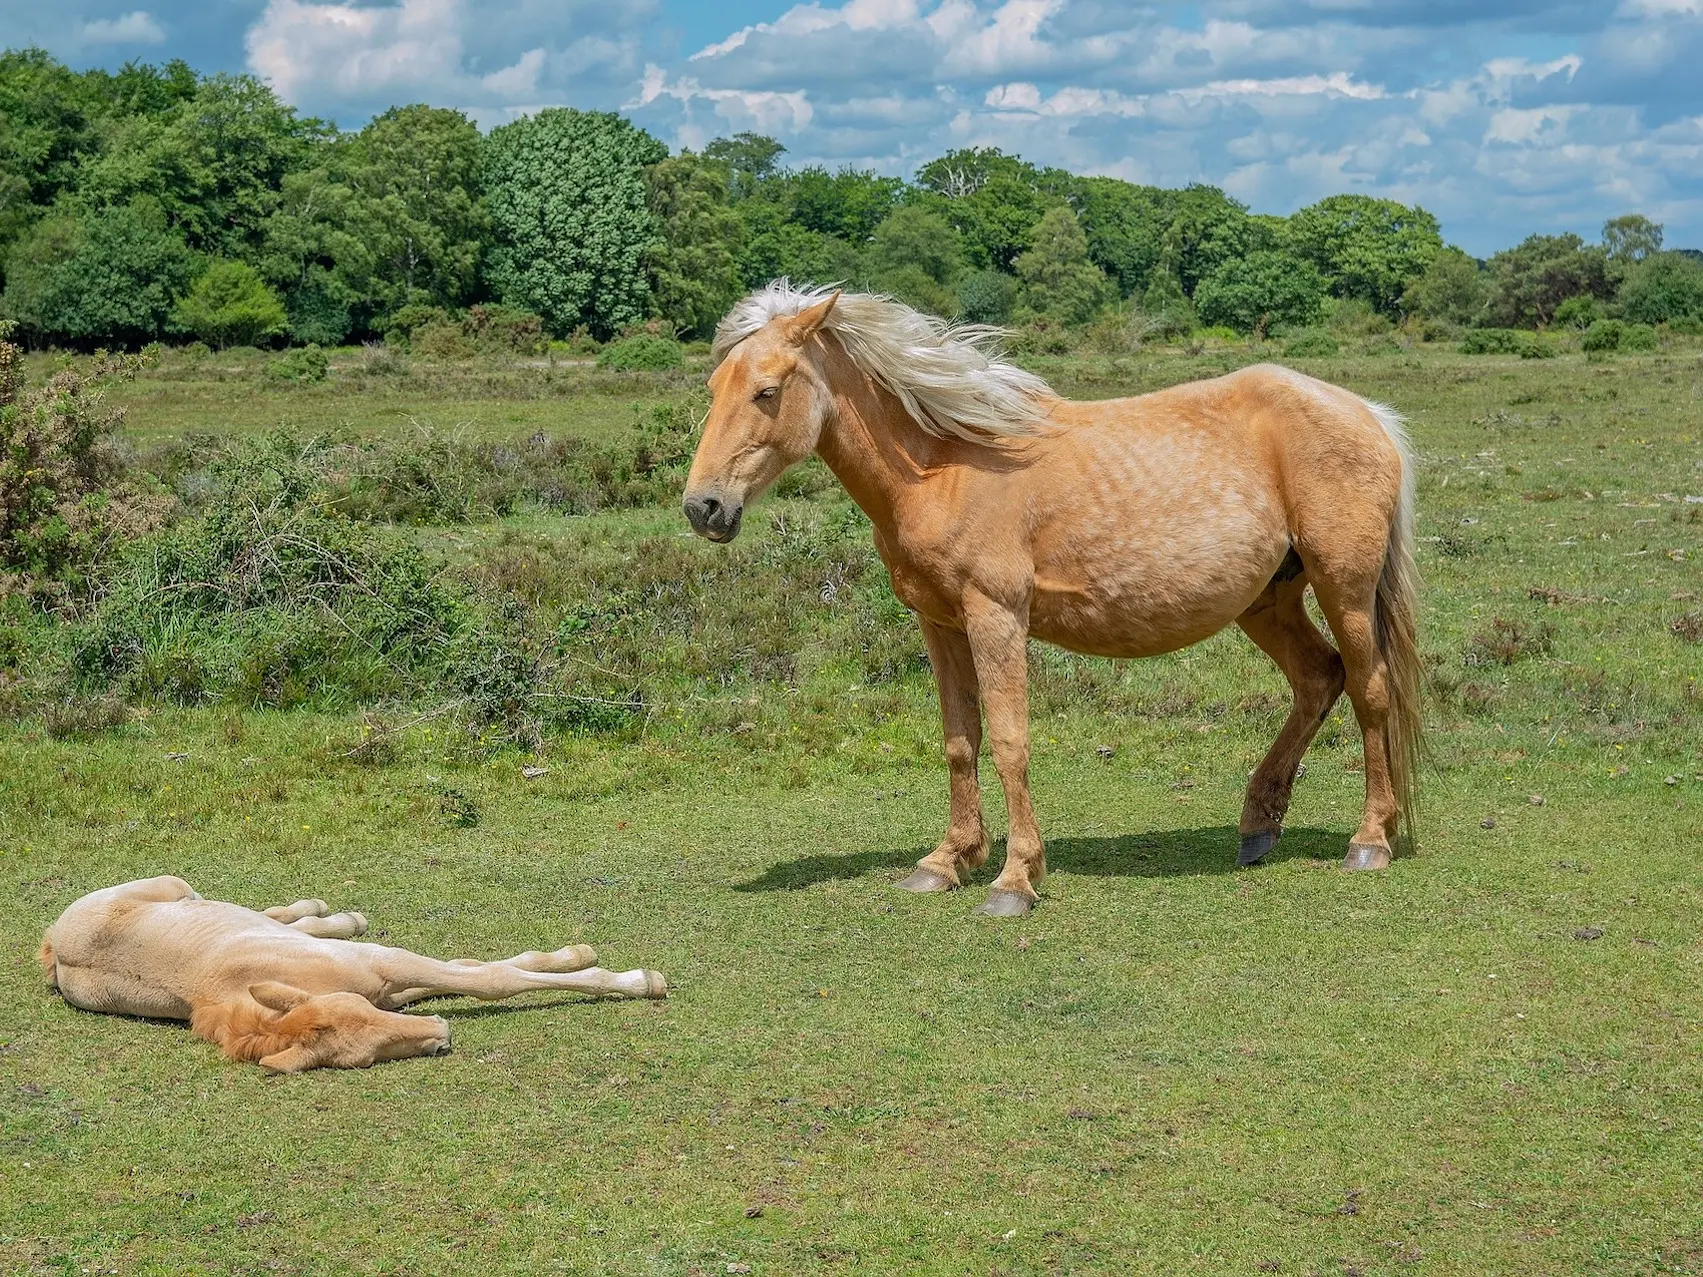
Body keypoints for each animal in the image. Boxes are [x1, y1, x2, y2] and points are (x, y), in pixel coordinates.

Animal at [40, 878, 664, 1076]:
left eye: (362, 1015)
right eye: (365, 1056)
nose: (442, 1034)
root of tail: (52, 948)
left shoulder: (383, 967)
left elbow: (487, 974)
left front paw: (621, 972)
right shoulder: (388, 978)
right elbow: (484, 975)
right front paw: (629, 976)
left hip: (179, 887)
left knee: (259, 912)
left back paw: (329, 912)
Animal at [681, 284, 1423, 919]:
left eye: (767, 390)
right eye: (715, 387)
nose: (703, 507)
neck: (942, 466)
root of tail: (1369, 414)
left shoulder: (995, 617)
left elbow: (1010, 741)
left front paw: (1015, 878)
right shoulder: (939, 624)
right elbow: (960, 741)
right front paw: (947, 860)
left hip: (1343, 590)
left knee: (1368, 690)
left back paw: (1368, 841)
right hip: (1267, 603)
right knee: (1318, 679)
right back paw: (1257, 827)